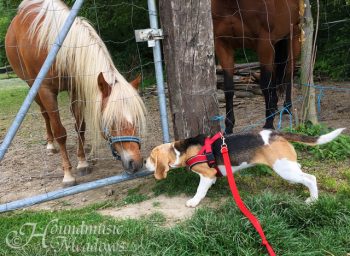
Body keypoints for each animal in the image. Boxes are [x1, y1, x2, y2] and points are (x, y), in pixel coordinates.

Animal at [5, 0, 145, 188]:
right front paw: (68, 175)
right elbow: (60, 132)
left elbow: (80, 127)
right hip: (32, 87)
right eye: (112, 122)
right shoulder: (46, 91)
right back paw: (50, 145)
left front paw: (82, 162)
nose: (136, 163)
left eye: (135, 119)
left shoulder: (76, 89)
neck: (57, 49)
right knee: (45, 115)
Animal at [145, 128, 344, 208]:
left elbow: (200, 190)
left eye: (151, 158)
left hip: (285, 170)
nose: (144, 163)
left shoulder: (207, 174)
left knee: (311, 178)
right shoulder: (212, 175)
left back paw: (313, 200)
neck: (182, 150)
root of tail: (276, 133)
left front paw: (193, 202)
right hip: (289, 166)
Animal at [212, 0, 302, 132]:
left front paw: (269, 123)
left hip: (293, 37)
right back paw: (274, 107)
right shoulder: (222, 44)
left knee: (288, 73)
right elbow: (228, 88)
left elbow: (265, 85)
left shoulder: (264, 44)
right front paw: (228, 127)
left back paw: (287, 107)